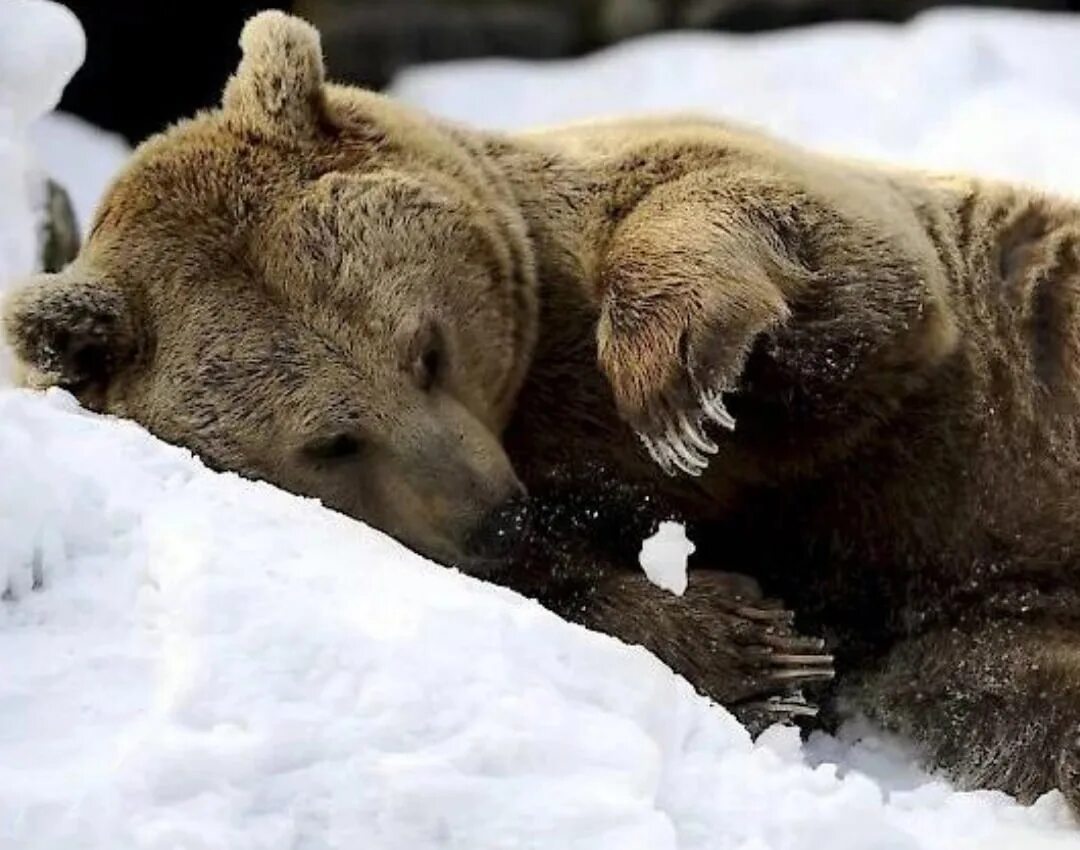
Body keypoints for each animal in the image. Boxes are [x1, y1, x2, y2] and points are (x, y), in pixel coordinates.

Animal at [6, 6, 1080, 816]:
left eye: (426, 349)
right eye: (331, 440)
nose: (495, 514)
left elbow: (828, 259)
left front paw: (676, 388)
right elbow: (574, 590)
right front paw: (757, 645)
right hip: (987, 632)